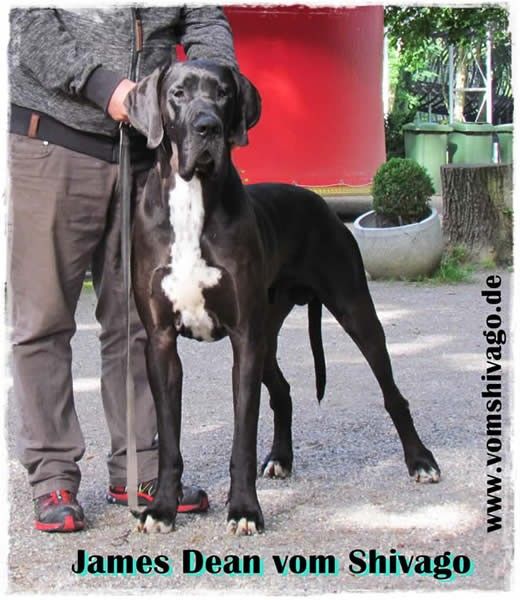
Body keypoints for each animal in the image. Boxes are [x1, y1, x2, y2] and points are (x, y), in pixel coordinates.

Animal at [125, 59, 440, 536]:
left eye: (223, 93)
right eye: (177, 94)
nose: (207, 126)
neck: (192, 202)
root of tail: (321, 202)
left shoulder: (244, 337)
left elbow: (242, 438)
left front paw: (243, 509)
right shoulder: (162, 342)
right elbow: (169, 441)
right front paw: (162, 508)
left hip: (351, 310)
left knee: (391, 393)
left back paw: (420, 460)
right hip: (267, 333)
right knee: (283, 390)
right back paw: (281, 458)